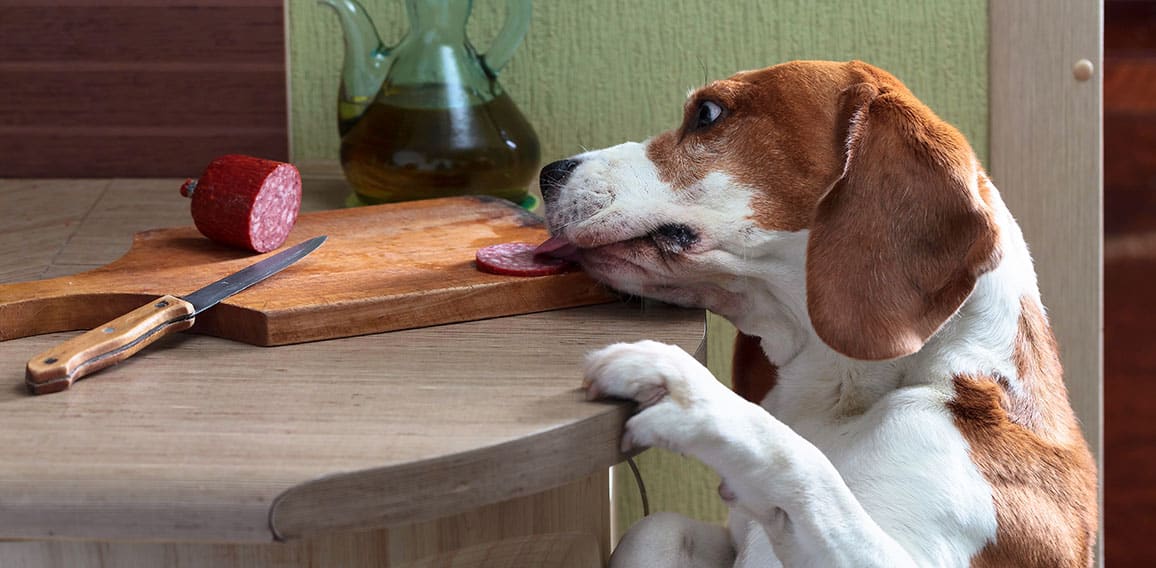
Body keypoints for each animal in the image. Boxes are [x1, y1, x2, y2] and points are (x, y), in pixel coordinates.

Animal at [536, 60, 1095, 566]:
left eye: (708, 114)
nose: (547, 173)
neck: (840, 400)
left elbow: (806, 466)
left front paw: (687, 391)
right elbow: (658, 527)